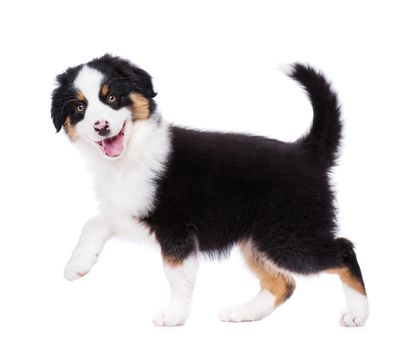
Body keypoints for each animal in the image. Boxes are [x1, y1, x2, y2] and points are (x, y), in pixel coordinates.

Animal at [51, 53, 370, 326]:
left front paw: (174, 314)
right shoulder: (131, 208)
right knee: (283, 283)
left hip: (288, 233)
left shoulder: (175, 229)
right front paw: (77, 265)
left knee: (344, 251)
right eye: (80, 107)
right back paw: (243, 313)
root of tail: (305, 152)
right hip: (260, 238)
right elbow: (94, 222)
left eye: (112, 98)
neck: (130, 155)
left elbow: (176, 274)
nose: (102, 126)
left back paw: (357, 313)